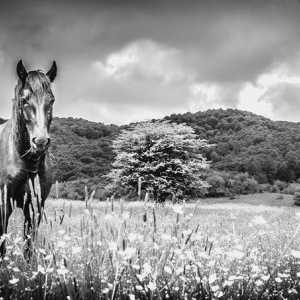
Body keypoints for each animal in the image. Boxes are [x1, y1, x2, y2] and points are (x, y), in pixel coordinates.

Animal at [0, 60, 57, 255]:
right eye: (24, 100)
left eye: (51, 100)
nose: (40, 142)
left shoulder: (34, 207)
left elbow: (29, 246)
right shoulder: (4, 204)